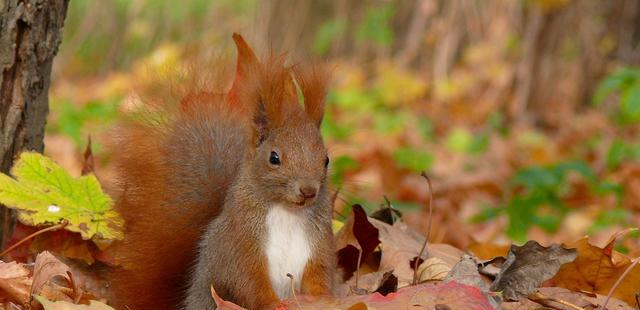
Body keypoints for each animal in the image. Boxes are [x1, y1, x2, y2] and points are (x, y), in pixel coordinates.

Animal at [105, 32, 336, 308]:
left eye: (326, 159)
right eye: (274, 158)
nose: (308, 191)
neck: (287, 212)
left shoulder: (319, 246)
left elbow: (319, 277)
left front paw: (324, 299)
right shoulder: (240, 246)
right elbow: (250, 283)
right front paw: (275, 304)